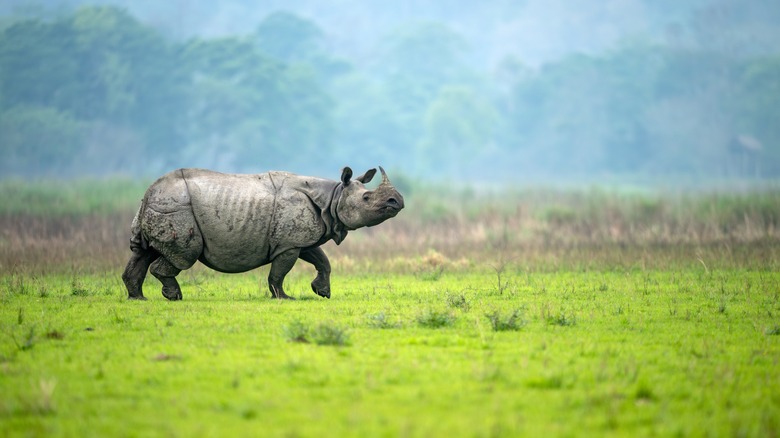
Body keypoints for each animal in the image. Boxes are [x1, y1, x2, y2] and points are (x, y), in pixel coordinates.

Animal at [121, 166, 404, 300]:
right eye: (367, 198)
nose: (397, 202)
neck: (333, 197)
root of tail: (148, 192)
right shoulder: (289, 244)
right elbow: (279, 272)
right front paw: (285, 298)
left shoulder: (299, 238)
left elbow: (322, 260)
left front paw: (321, 292)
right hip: (177, 208)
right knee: (184, 256)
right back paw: (174, 297)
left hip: (158, 206)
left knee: (143, 252)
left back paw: (139, 298)